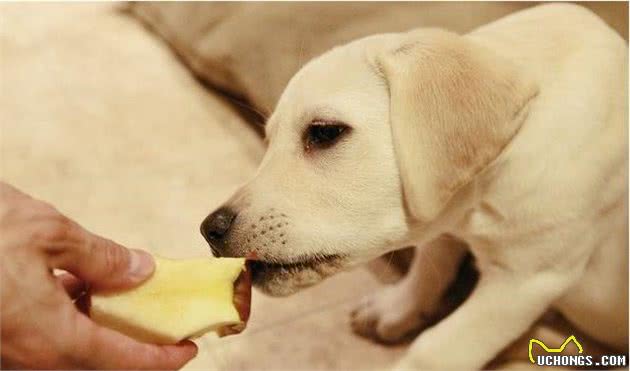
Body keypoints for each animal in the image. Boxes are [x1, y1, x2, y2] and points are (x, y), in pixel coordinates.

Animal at [201, 4, 628, 370]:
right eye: (267, 140)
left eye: (324, 133)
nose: (210, 230)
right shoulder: (444, 221)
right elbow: (429, 266)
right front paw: (396, 309)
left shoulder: (525, 280)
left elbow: (435, 349)